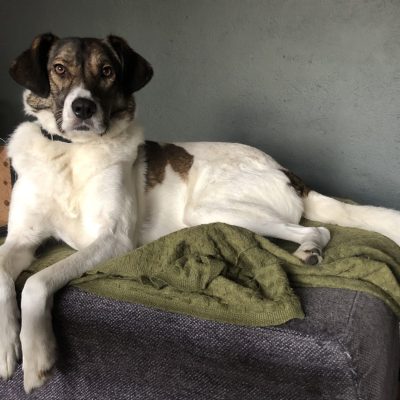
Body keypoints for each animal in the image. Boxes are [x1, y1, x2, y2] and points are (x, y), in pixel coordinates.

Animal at [1, 33, 399, 393]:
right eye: (59, 68)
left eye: (108, 71)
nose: (83, 108)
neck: (71, 152)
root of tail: (289, 173)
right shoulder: (21, 237)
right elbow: (5, 272)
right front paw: (7, 345)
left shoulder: (114, 240)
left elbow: (37, 281)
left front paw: (36, 355)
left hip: (208, 211)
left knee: (317, 230)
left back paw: (310, 251)